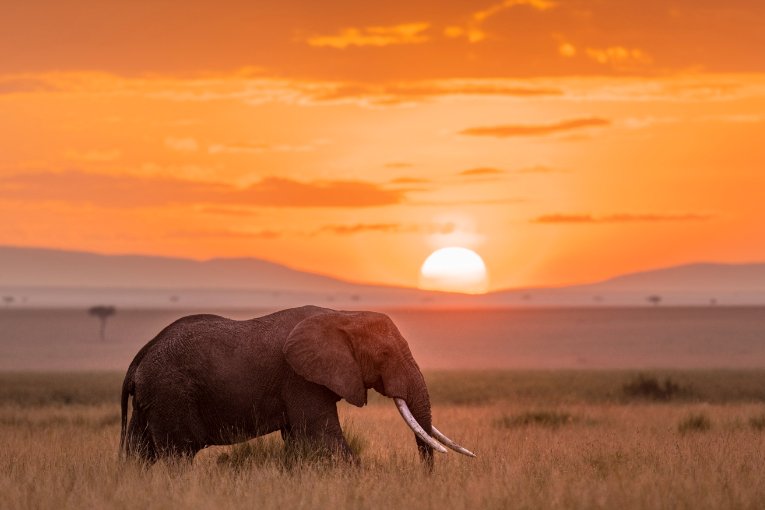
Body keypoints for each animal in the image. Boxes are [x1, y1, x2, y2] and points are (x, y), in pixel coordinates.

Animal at [118, 304, 472, 468]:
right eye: (384, 355)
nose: (427, 477)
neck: (343, 316)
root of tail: (139, 358)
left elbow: (300, 443)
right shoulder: (301, 379)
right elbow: (323, 438)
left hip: (153, 399)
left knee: (140, 453)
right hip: (171, 394)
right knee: (176, 455)